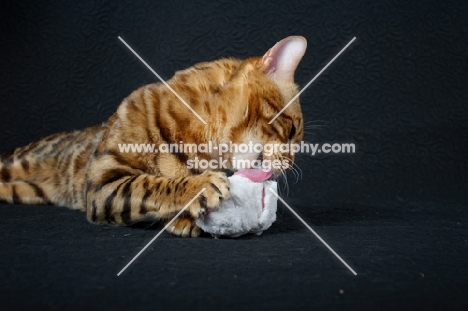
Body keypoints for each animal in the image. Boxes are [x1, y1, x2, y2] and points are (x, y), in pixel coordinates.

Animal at [0, 36, 308, 236]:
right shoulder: (103, 184)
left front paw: (186, 219)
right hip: (21, 161)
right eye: (292, 130)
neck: (199, 143)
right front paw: (198, 186)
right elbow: (149, 185)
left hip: (28, 192)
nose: (290, 167)